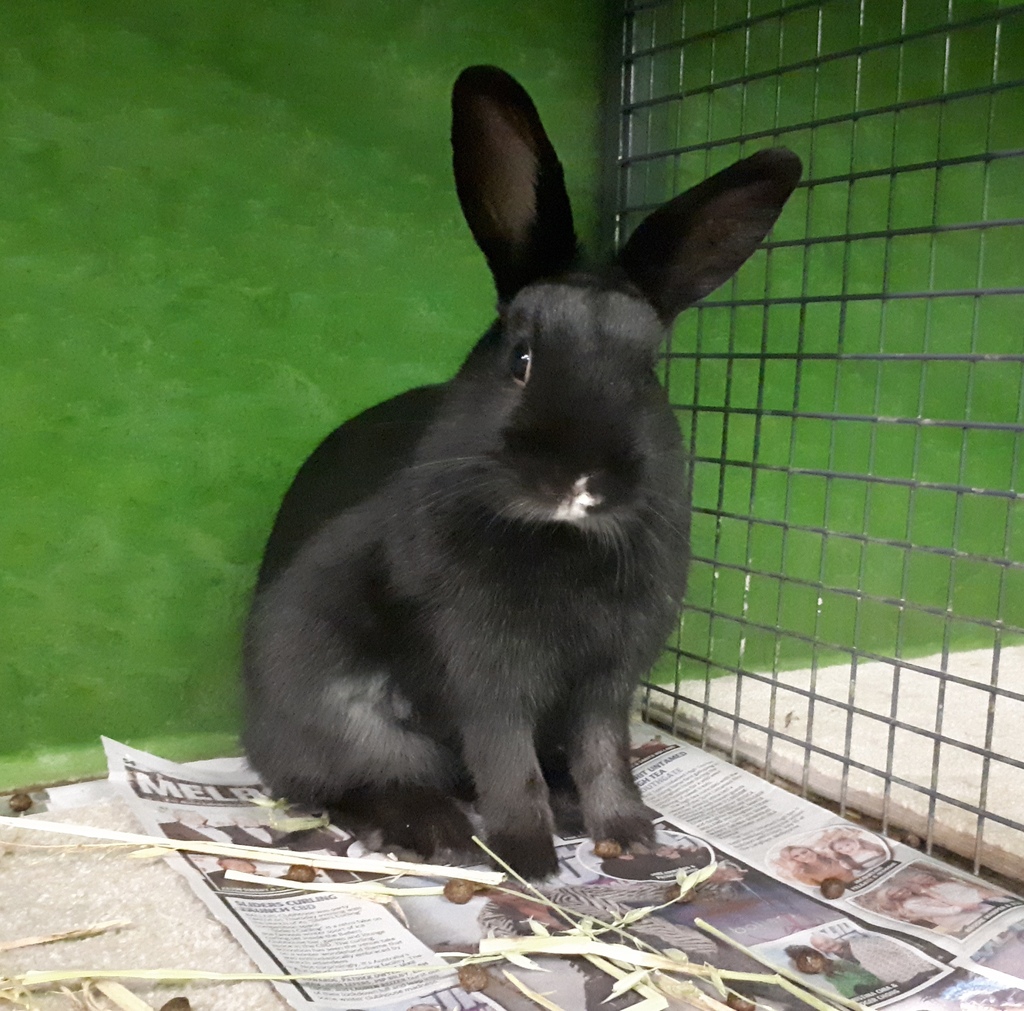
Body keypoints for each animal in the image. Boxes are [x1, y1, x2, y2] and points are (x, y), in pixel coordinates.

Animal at [242, 65, 802, 880]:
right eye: (521, 358)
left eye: (647, 376)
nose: (581, 480)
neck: (561, 544)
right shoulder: (485, 675)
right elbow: (506, 761)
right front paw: (527, 858)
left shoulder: (606, 681)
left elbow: (605, 754)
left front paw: (628, 838)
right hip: (335, 710)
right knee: (339, 782)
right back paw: (431, 831)